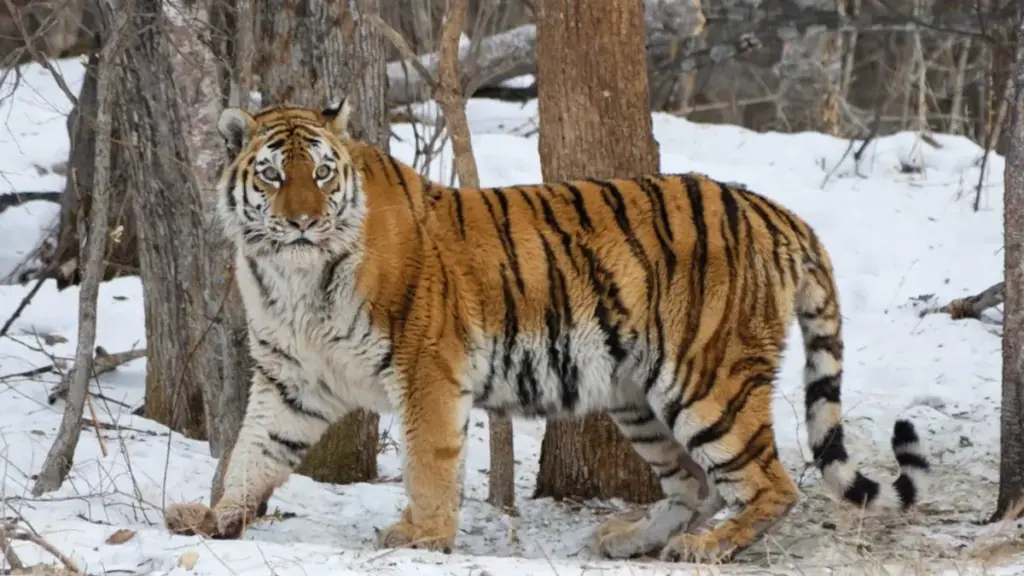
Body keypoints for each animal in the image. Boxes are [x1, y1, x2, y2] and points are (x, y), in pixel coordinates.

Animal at [163, 99, 931, 563]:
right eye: (272, 176)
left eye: (322, 174)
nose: (302, 220)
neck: (293, 278)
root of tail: (777, 211)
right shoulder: (290, 379)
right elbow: (251, 454)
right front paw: (215, 519)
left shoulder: (425, 368)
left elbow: (429, 462)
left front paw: (422, 536)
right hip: (635, 396)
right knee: (696, 486)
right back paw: (628, 539)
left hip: (707, 381)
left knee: (771, 485)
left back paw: (707, 548)